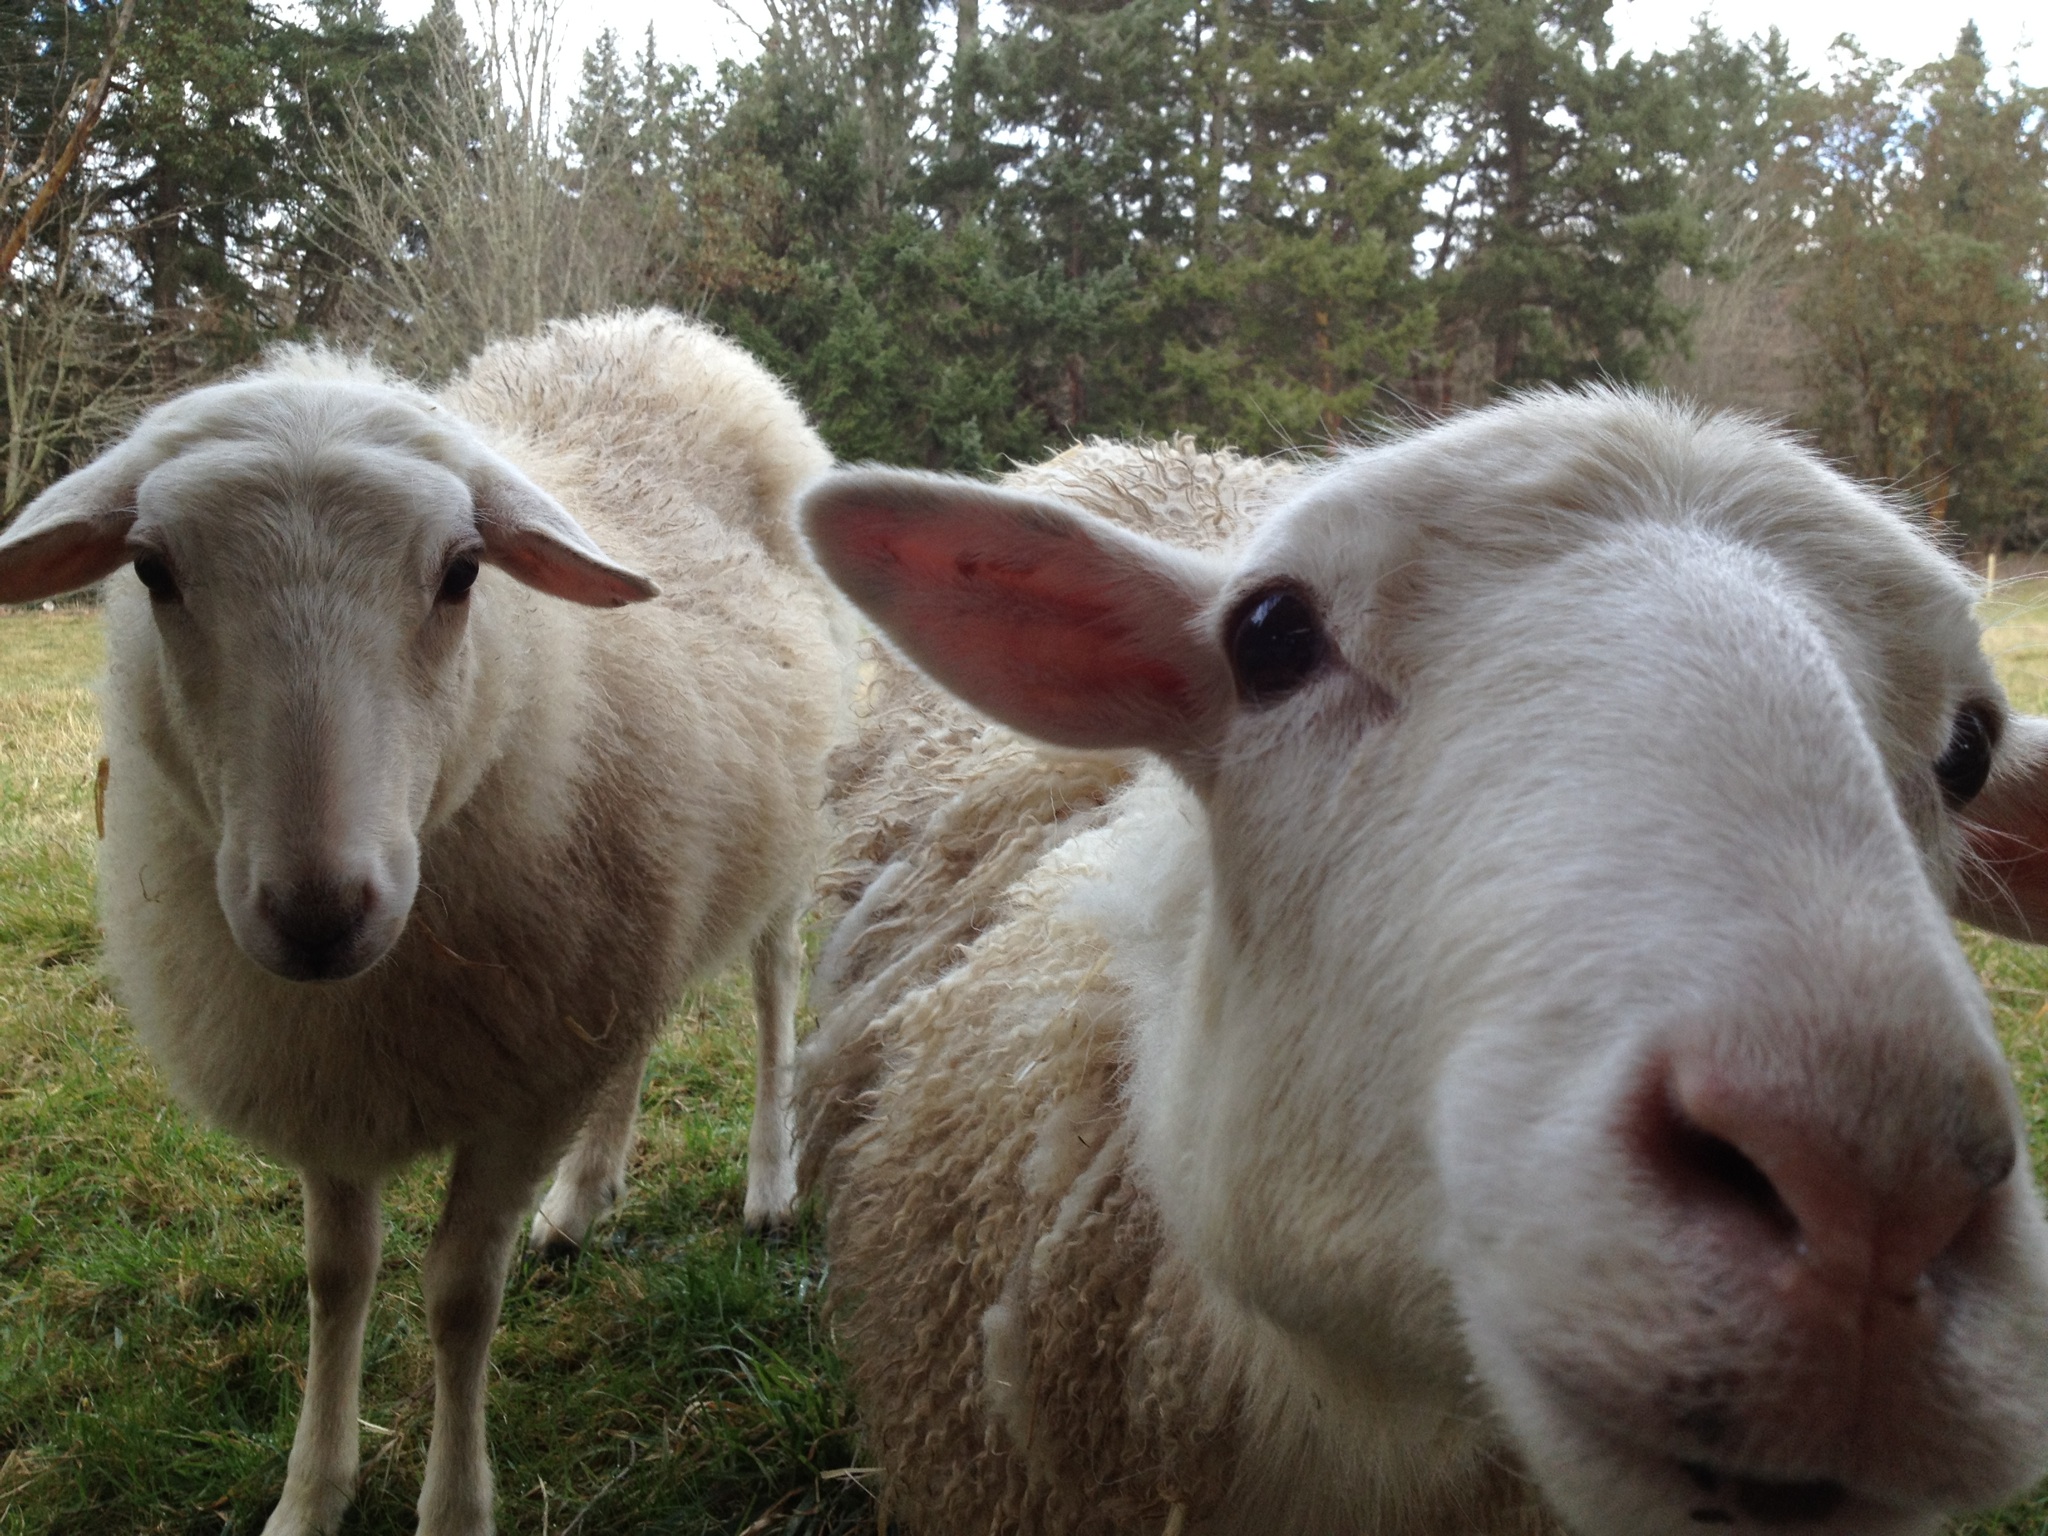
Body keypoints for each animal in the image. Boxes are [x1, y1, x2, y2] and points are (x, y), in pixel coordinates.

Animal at [0, 307, 847, 1531]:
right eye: (153, 570)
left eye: (461, 573)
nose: (316, 913)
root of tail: (656, 330)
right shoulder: (333, 1079)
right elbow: (335, 1278)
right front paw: (311, 1494)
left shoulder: (521, 1089)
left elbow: (456, 1295)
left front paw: (453, 1504)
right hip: (631, 918)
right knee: (636, 1037)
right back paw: (581, 1202)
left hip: (786, 829)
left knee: (776, 983)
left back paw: (768, 1184)